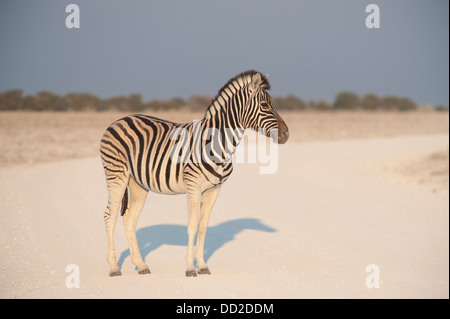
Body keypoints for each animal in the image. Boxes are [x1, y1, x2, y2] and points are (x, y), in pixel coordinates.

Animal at [99, 70, 288, 278]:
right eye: (265, 105)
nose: (286, 134)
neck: (217, 143)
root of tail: (119, 120)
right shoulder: (193, 186)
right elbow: (191, 225)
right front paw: (190, 268)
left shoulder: (214, 189)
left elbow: (203, 226)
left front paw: (203, 265)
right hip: (116, 174)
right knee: (110, 216)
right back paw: (114, 268)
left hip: (138, 183)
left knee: (129, 218)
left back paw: (141, 265)